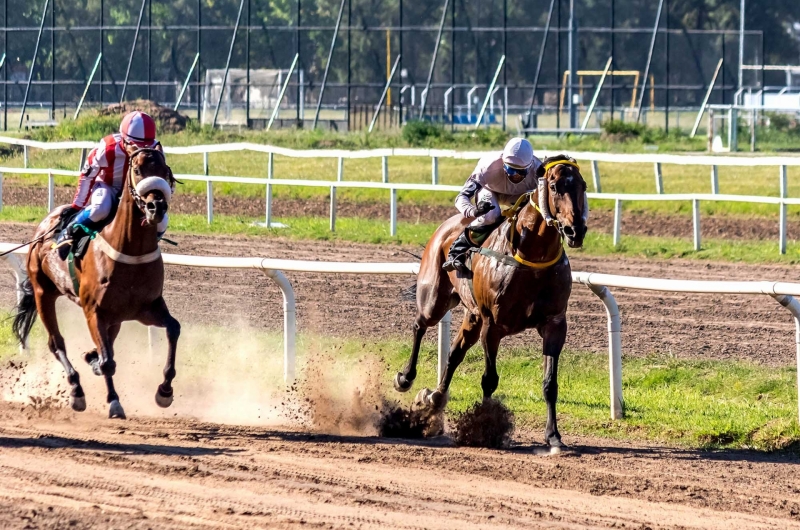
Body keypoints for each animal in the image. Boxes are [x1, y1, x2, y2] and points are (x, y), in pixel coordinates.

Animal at [12, 143, 180, 416]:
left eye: (165, 170)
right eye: (137, 169)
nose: (157, 207)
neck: (130, 251)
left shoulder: (147, 308)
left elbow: (173, 329)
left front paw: (165, 391)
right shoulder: (93, 311)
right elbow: (108, 362)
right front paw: (113, 401)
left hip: (115, 316)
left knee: (106, 343)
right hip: (42, 292)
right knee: (56, 343)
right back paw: (76, 390)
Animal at [394, 153, 588, 446]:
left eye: (583, 186)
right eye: (554, 187)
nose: (575, 231)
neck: (532, 258)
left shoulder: (555, 324)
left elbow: (550, 383)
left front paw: (553, 436)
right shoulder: (492, 325)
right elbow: (489, 379)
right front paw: (484, 428)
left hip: (472, 316)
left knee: (454, 353)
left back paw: (435, 397)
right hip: (435, 299)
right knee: (420, 325)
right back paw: (406, 378)